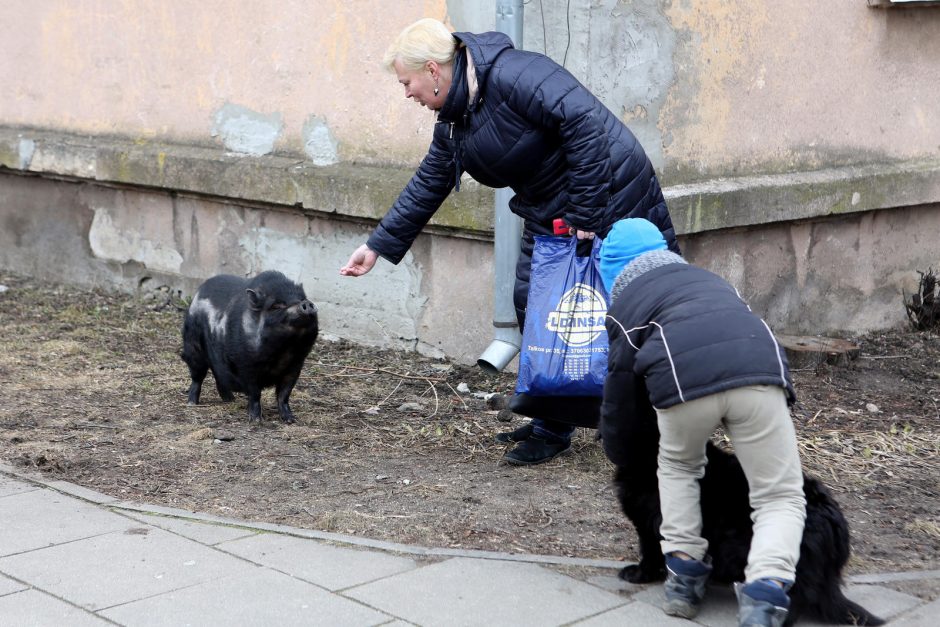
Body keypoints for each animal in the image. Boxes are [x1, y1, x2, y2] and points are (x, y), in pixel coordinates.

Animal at [180, 270, 320, 422]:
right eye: (276, 306)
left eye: (301, 298)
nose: (306, 303)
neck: (283, 351)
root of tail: (198, 293)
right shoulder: (247, 366)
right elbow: (255, 393)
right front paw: (256, 420)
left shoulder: (295, 366)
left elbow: (284, 394)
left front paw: (290, 420)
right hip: (193, 348)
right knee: (197, 377)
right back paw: (192, 403)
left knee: (218, 377)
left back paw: (230, 400)